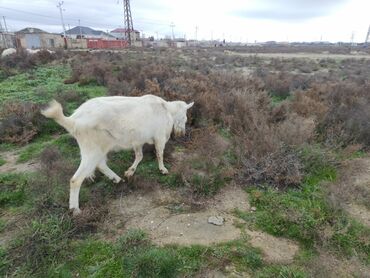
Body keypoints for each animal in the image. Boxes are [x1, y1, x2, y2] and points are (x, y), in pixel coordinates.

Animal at [41, 94, 194, 214]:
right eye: (185, 118)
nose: (182, 134)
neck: (167, 110)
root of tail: (73, 121)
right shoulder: (160, 136)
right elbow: (159, 153)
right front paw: (163, 169)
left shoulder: (137, 140)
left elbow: (139, 155)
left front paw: (130, 171)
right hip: (93, 147)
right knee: (76, 179)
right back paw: (75, 209)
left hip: (97, 147)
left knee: (100, 164)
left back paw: (117, 179)